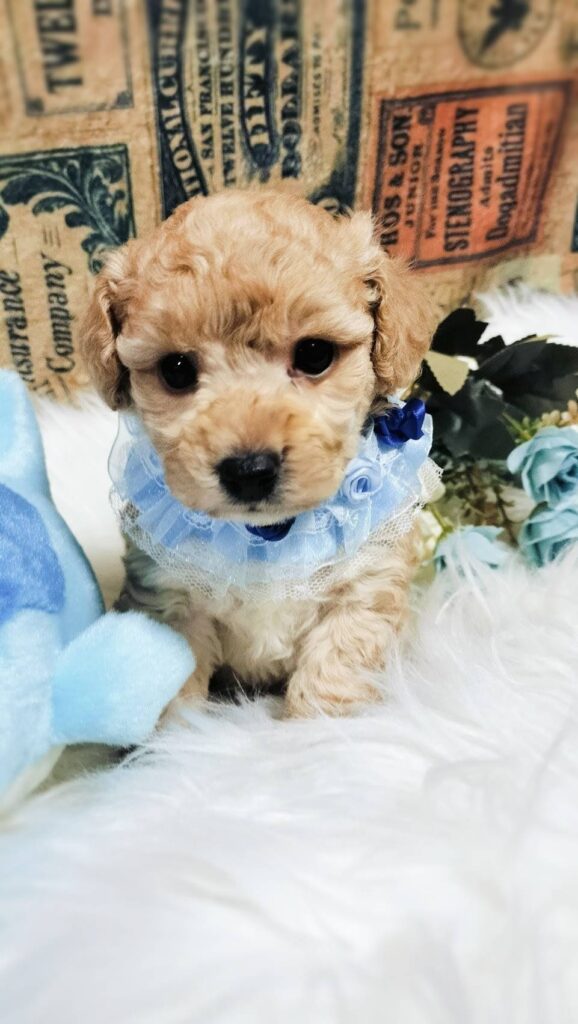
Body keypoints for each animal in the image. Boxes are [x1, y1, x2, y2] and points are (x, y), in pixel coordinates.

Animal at [81, 188, 434, 717]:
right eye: (176, 369)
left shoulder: (364, 589)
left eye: (314, 354)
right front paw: (179, 738)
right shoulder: (170, 599)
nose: (249, 470)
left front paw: (322, 733)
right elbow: (176, 692)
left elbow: (334, 675)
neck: (268, 536)